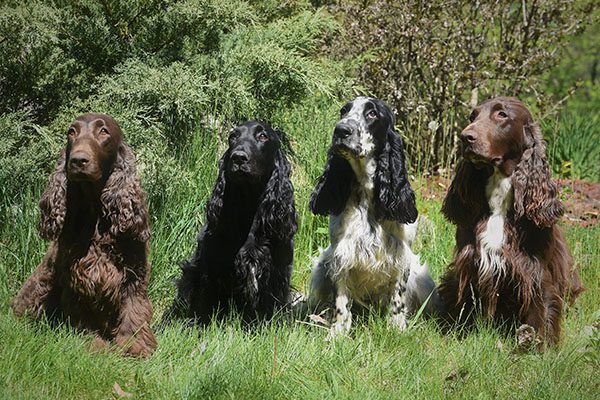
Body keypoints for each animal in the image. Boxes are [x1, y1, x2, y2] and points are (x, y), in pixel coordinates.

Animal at [11, 112, 156, 356]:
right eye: (72, 132)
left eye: (104, 131)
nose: (78, 160)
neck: (95, 214)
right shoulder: (77, 278)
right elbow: (84, 315)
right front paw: (94, 345)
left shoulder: (133, 275)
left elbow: (134, 311)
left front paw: (134, 347)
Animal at [310, 96, 440, 338]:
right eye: (344, 111)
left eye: (372, 114)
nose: (341, 130)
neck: (367, 192)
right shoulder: (341, 255)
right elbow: (341, 301)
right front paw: (338, 332)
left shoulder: (400, 256)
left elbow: (398, 298)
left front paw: (396, 328)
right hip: (321, 266)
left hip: (423, 277)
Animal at [438, 97, 584, 346]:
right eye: (473, 116)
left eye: (502, 115)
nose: (465, 137)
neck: (499, 204)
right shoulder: (468, 263)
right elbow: (462, 303)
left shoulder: (535, 272)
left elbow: (541, 312)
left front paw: (538, 346)